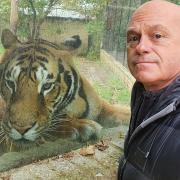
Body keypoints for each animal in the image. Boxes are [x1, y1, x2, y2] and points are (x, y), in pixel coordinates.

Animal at [0, 29, 130, 150]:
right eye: (10, 83)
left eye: (47, 86)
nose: (20, 128)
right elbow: (54, 124)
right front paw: (80, 126)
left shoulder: (100, 106)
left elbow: (115, 110)